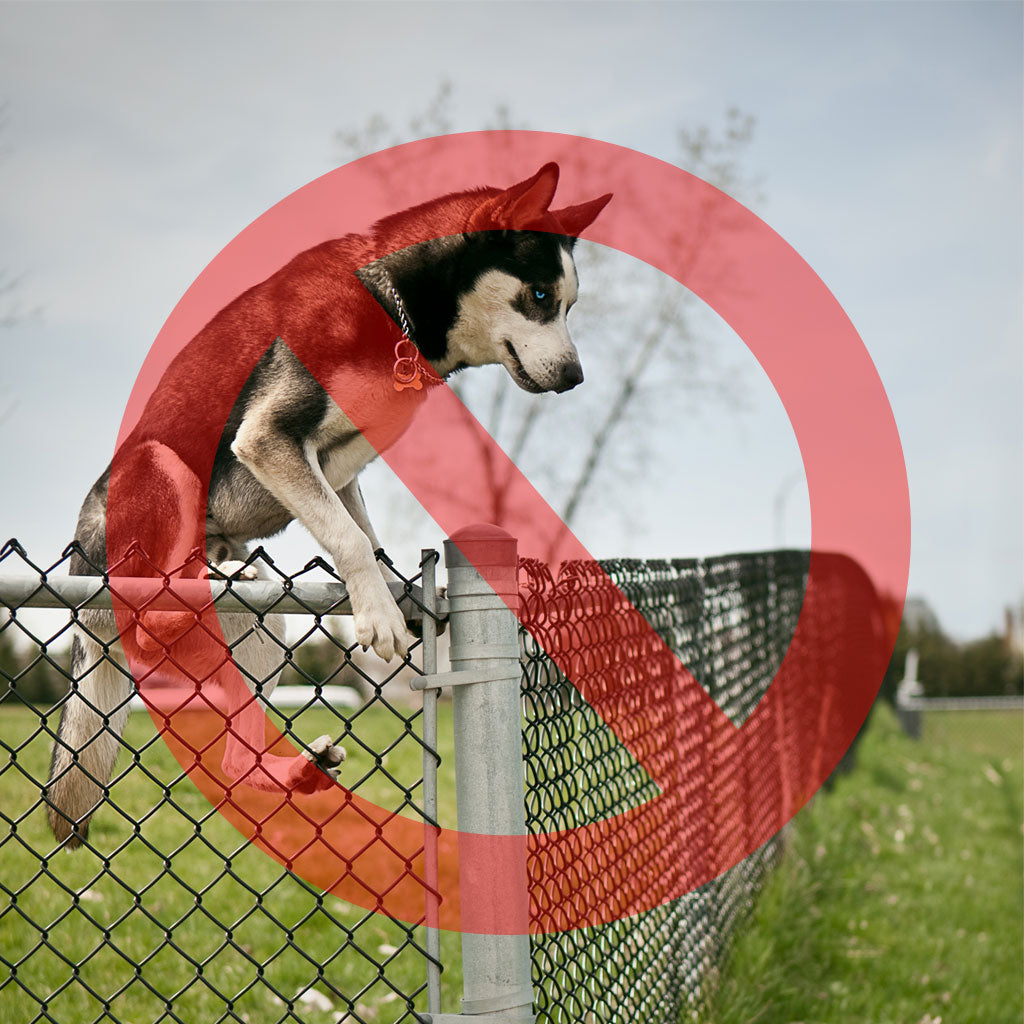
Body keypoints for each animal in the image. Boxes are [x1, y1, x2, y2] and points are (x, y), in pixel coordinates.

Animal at [46, 161, 606, 847]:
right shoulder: (269, 436)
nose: (577, 377)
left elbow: (364, 532)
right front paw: (378, 616)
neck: (391, 306)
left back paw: (297, 766)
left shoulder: (337, 469)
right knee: (155, 601)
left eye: (569, 303)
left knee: (236, 763)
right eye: (541, 297)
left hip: (261, 632)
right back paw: (212, 575)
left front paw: (396, 593)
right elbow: (350, 538)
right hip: (159, 468)